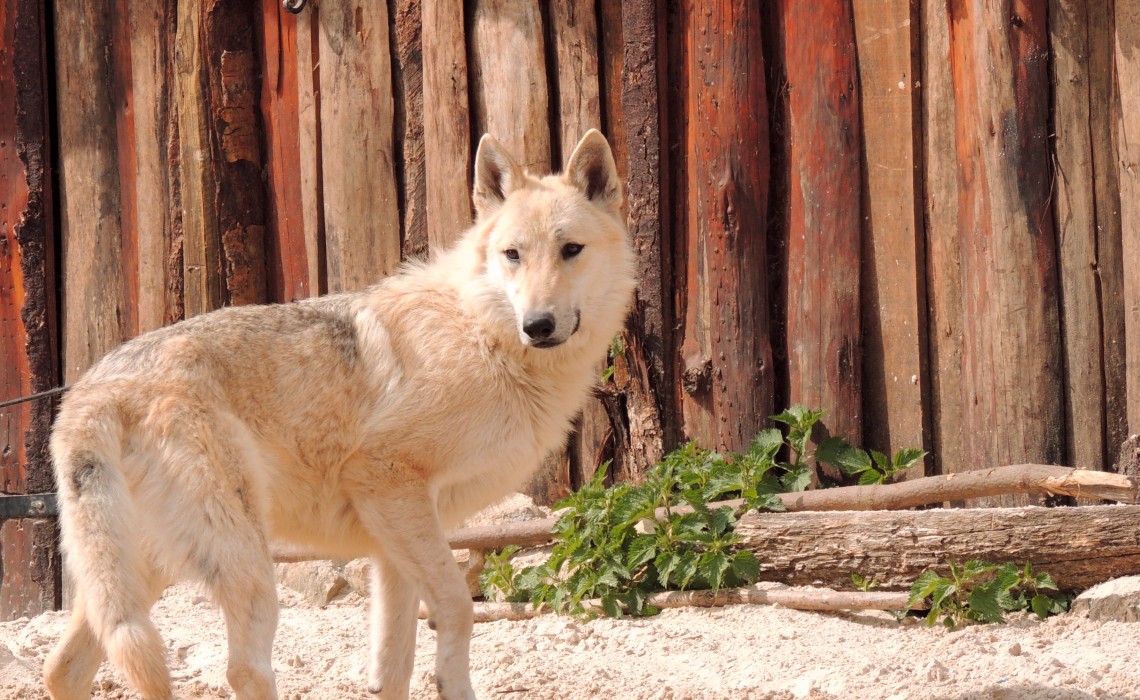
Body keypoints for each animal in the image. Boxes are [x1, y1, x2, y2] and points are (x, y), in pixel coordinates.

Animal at [44, 128, 638, 697]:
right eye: (513, 254)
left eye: (571, 249)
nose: (537, 325)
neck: (482, 333)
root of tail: (93, 390)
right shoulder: (391, 489)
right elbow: (456, 611)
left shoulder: (395, 539)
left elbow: (395, 668)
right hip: (246, 566)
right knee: (243, 672)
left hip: (143, 576)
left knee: (64, 668)